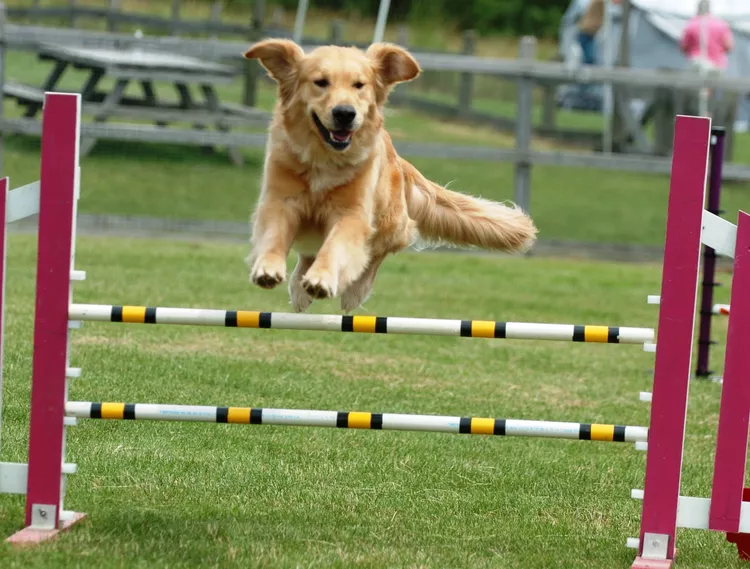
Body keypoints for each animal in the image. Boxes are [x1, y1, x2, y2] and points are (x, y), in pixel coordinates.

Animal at [244, 37, 536, 312]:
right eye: (320, 82)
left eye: (359, 85)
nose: (345, 113)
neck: (323, 159)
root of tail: (400, 161)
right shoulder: (280, 201)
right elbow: (274, 236)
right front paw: (268, 268)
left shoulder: (352, 214)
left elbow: (335, 247)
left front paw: (322, 279)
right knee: (309, 253)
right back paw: (299, 289)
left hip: (390, 222)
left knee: (378, 252)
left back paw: (353, 291)